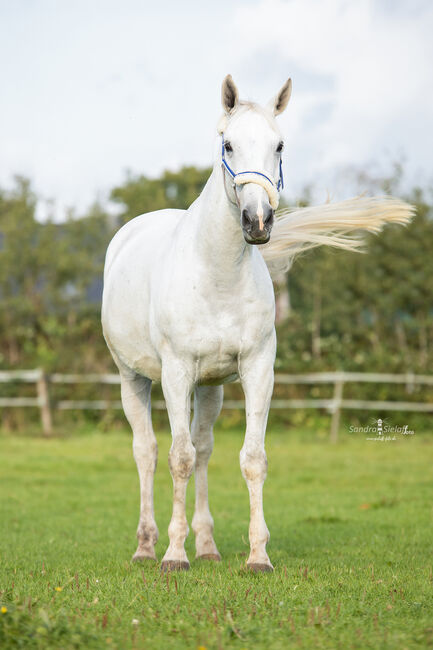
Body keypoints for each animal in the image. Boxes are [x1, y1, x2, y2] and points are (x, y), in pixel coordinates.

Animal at [101, 77, 412, 572]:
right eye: (228, 143)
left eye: (279, 145)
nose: (259, 221)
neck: (216, 274)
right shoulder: (175, 373)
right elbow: (178, 457)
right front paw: (174, 554)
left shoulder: (257, 369)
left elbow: (250, 458)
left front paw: (257, 554)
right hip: (133, 377)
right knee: (147, 451)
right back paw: (146, 546)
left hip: (210, 387)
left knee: (205, 448)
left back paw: (207, 547)